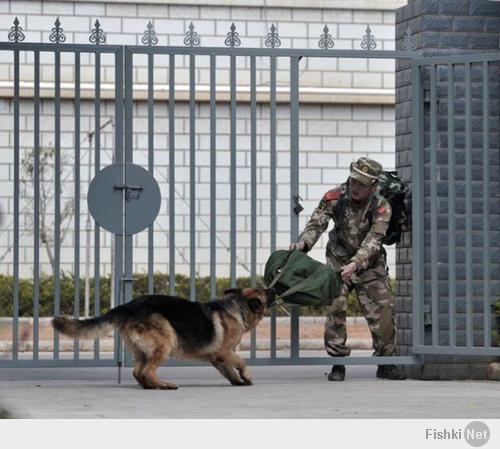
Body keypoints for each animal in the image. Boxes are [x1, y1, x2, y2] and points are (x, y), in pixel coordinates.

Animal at [52, 288, 276, 388]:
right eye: (266, 292)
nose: (273, 287)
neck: (238, 306)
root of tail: (127, 306)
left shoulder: (217, 357)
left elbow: (229, 370)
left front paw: (238, 381)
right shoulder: (224, 352)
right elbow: (241, 361)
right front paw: (246, 376)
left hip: (142, 350)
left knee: (138, 372)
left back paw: (149, 385)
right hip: (165, 343)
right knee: (147, 371)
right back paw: (162, 385)